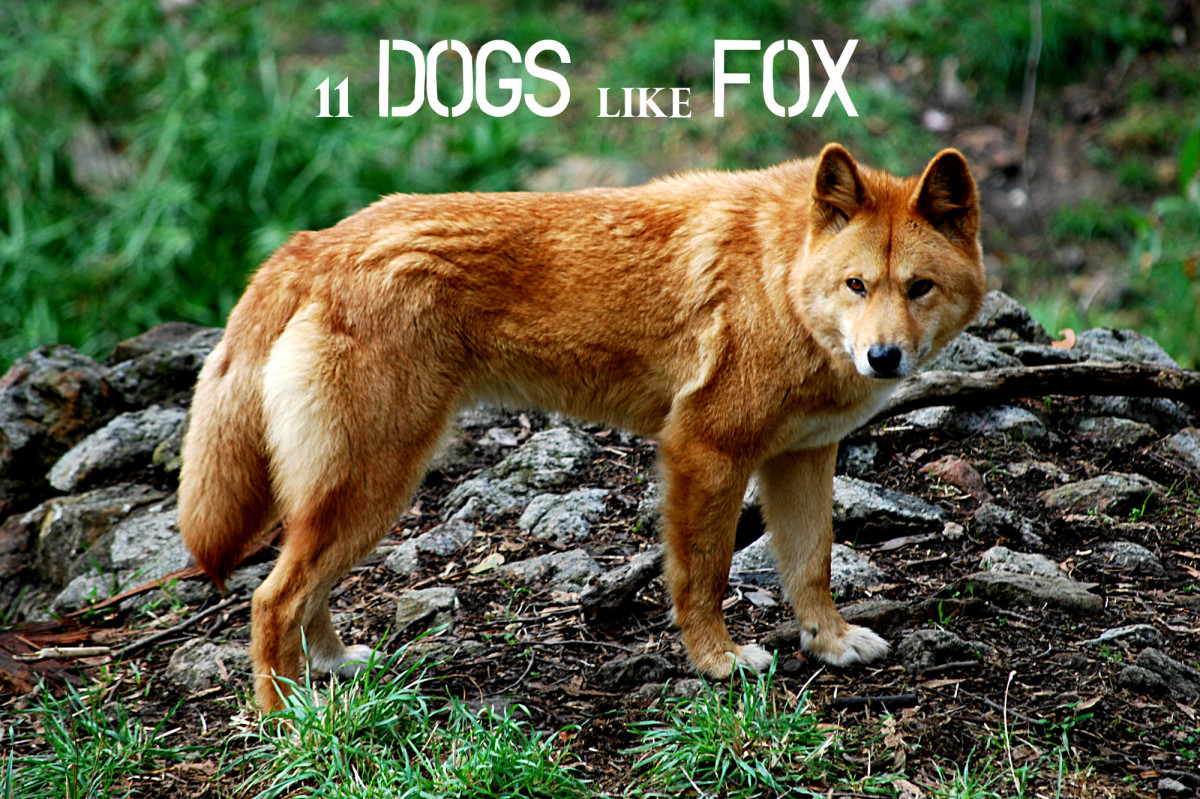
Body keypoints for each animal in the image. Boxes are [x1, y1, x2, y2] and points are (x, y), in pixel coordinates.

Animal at [179, 143, 986, 713]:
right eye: (858, 285)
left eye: (919, 287)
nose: (883, 357)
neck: (780, 278)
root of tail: (317, 241)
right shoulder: (706, 453)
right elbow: (704, 576)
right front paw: (716, 661)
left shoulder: (805, 456)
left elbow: (811, 565)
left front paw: (831, 642)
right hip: (375, 483)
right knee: (271, 599)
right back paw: (291, 717)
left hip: (357, 492)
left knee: (299, 591)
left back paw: (336, 667)